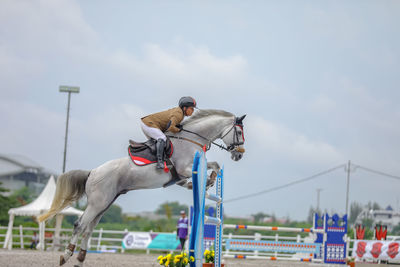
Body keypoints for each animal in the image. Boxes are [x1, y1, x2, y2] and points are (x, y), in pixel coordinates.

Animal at [38, 109, 244, 267]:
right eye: (240, 133)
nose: (239, 155)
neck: (191, 139)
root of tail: (93, 172)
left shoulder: (181, 176)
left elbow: (214, 165)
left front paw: (210, 180)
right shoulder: (184, 169)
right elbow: (209, 167)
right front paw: (207, 181)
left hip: (104, 204)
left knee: (88, 229)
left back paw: (80, 260)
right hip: (97, 203)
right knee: (79, 225)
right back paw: (66, 255)